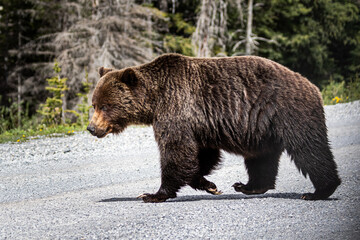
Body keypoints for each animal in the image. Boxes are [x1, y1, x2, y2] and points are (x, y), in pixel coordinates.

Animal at [88, 53, 340, 202]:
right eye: (94, 104)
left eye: (106, 105)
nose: (91, 128)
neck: (155, 100)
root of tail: (311, 85)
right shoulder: (199, 124)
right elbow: (201, 155)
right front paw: (209, 185)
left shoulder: (176, 110)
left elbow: (176, 151)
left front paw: (153, 194)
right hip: (262, 129)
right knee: (261, 158)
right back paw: (248, 186)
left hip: (288, 111)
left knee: (308, 149)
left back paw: (319, 191)